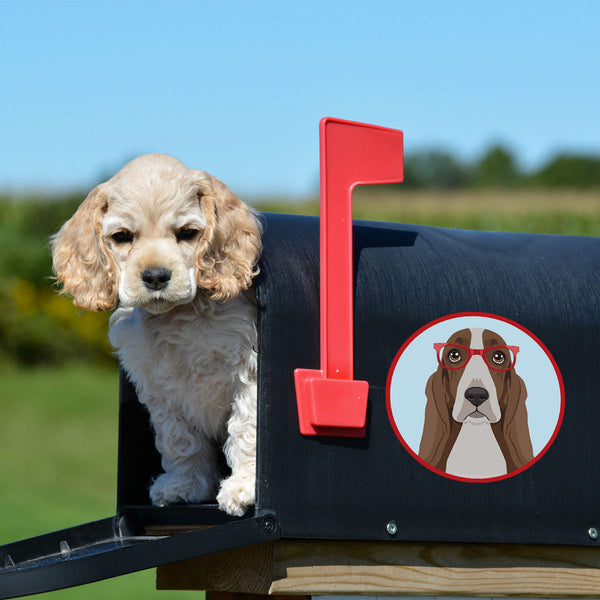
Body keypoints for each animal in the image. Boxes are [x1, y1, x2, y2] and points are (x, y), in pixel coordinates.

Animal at [49, 155, 260, 516]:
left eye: (187, 233)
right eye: (122, 236)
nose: (156, 276)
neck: (179, 316)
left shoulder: (249, 371)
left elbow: (246, 427)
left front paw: (244, 486)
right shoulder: (162, 390)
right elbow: (181, 440)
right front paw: (186, 486)